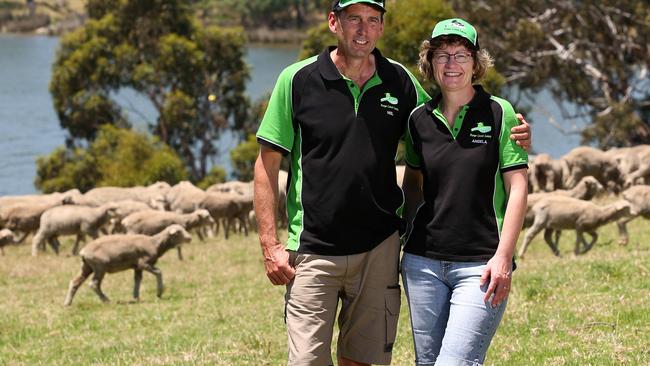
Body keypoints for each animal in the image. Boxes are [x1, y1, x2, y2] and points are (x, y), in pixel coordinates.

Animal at [62, 223, 191, 306]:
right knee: (94, 284)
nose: (189, 238)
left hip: (86, 267)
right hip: (99, 267)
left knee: (75, 282)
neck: (154, 243)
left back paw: (67, 303)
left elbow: (137, 279)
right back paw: (107, 301)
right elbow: (159, 272)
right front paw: (159, 293)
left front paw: (136, 297)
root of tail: (83, 252)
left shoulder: (137, 266)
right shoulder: (144, 263)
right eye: (178, 232)